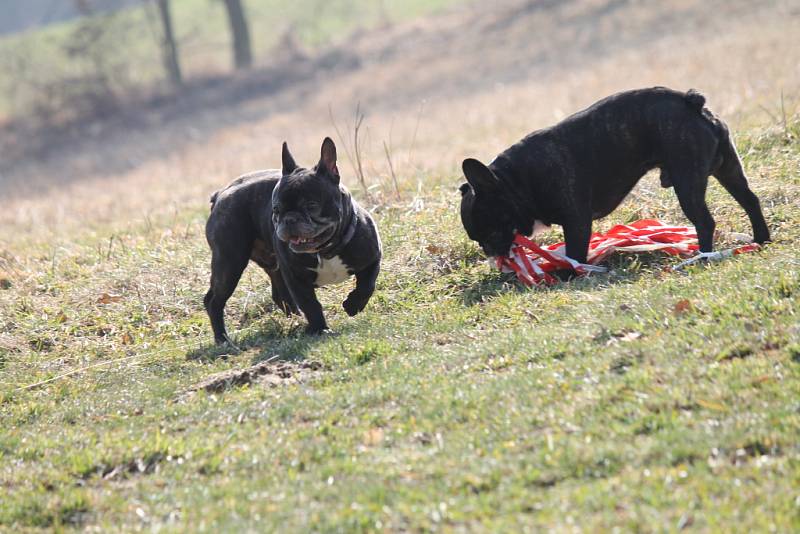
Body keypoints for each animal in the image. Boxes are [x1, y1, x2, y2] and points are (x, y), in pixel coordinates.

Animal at [205, 138, 382, 346]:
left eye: (311, 205)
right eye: (276, 209)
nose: (289, 219)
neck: (324, 251)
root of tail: (220, 194)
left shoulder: (373, 259)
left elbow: (367, 285)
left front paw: (353, 305)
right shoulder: (296, 278)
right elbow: (311, 304)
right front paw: (321, 329)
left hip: (268, 264)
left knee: (279, 295)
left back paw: (296, 320)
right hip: (230, 262)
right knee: (214, 301)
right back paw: (222, 339)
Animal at [460, 88, 772, 268]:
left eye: (490, 233)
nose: (491, 253)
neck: (514, 181)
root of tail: (689, 101)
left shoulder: (576, 221)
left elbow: (574, 252)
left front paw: (569, 272)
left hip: (688, 180)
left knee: (705, 221)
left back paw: (703, 255)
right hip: (728, 168)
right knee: (750, 200)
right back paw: (762, 239)